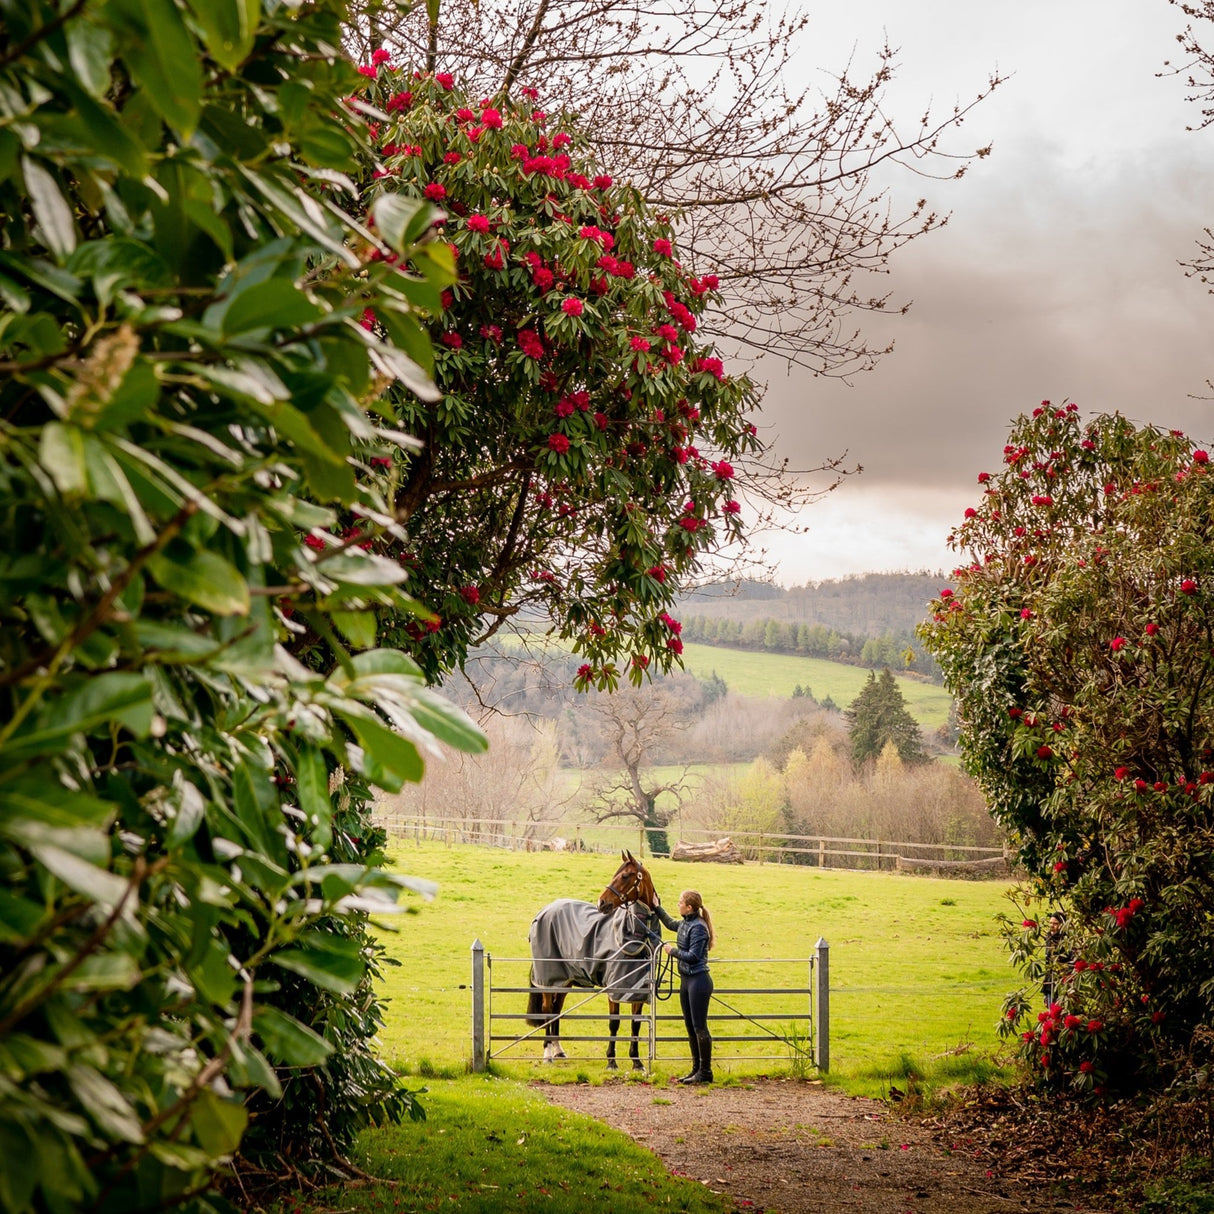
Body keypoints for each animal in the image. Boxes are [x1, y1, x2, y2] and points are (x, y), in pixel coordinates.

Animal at [526, 849, 665, 1068]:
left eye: (625, 876)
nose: (602, 903)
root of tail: (544, 911)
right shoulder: (614, 988)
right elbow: (614, 1022)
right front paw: (611, 1061)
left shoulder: (638, 990)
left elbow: (635, 1024)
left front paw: (637, 1062)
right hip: (548, 978)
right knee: (548, 1010)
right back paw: (548, 1054)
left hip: (564, 981)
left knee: (556, 1010)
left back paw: (558, 1050)